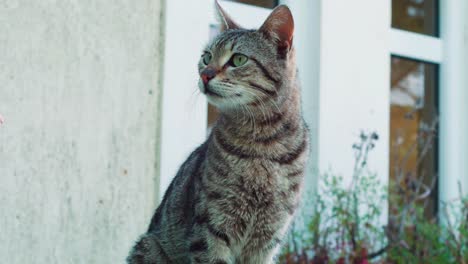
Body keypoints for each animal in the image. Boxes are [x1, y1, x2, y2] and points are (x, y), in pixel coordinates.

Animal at [130, 2, 308, 264]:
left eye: (238, 59)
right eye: (206, 57)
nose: (205, 74)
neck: (263, 144)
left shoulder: (268, 239)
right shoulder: (210, 228)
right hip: (148, 246)